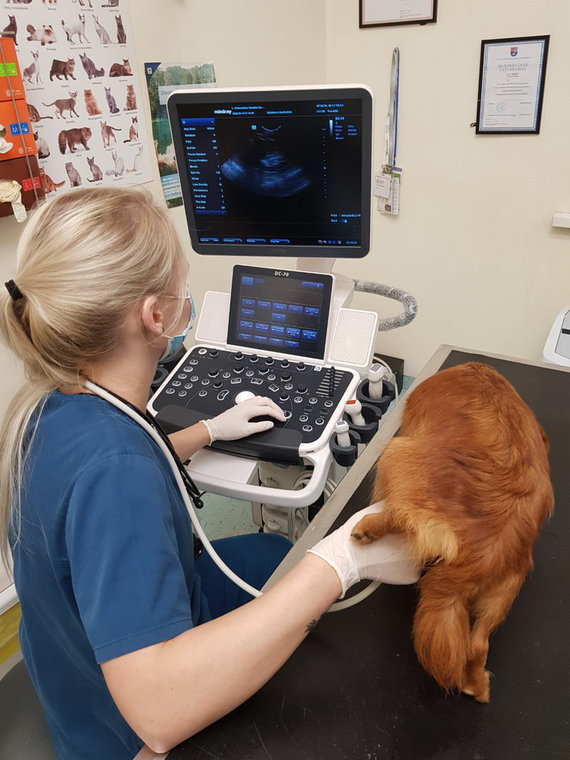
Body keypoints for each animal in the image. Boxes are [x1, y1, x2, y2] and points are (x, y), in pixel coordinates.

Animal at [350, 360, 552, 700]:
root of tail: (488, 544)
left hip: (396, 451)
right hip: (504, 591)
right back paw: (476, 685)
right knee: (478, 645)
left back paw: (369, 527)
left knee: (396, 515)